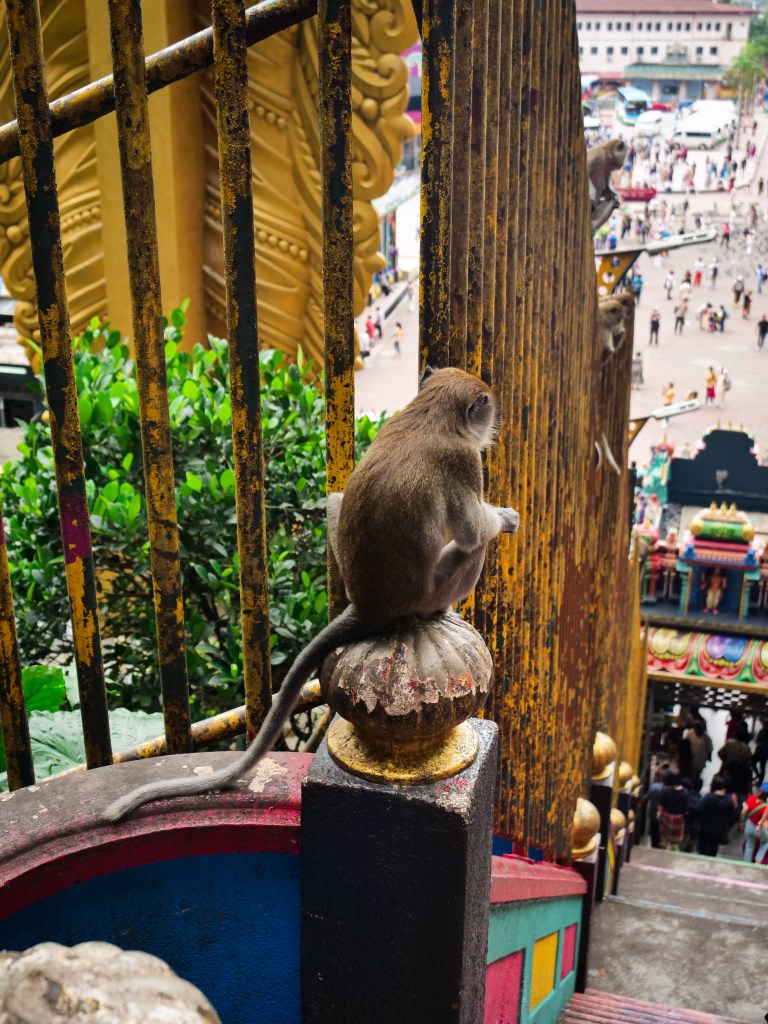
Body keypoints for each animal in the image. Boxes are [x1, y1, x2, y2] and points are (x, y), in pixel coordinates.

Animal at [104, 367, 520, 821]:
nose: (493, 427)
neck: (431, 414)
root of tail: (369, 606)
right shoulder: (464, 462)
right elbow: (473, 533)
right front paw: (503, 517)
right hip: (429, 592)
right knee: (470, 548)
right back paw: (443, 609)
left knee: (335, 500)